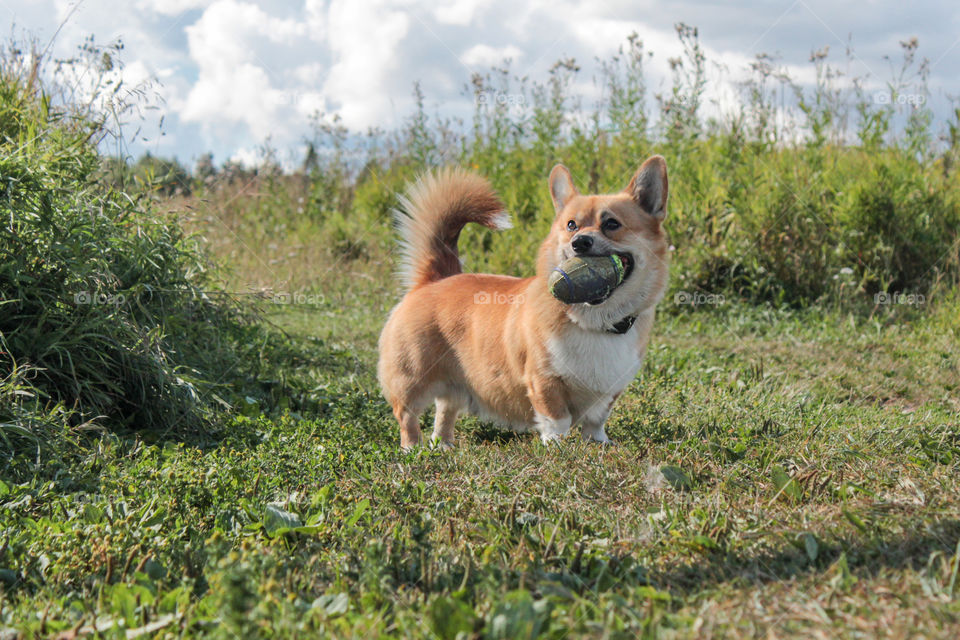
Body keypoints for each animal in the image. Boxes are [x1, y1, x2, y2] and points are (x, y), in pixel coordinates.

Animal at [376, 157, 668, 448]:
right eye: (571, 225)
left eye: (612, 224)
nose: (580, 242)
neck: (593, 321)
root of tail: (435, 279)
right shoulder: (544, 381)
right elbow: (556, 419)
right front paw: (558, 447)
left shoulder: (609, 390)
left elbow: (596, 421)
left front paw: (599, 444)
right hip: (411, 380)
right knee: (407, 416)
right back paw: (413, 450)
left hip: (456, 385)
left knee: (445, 412)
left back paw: (443, 447)